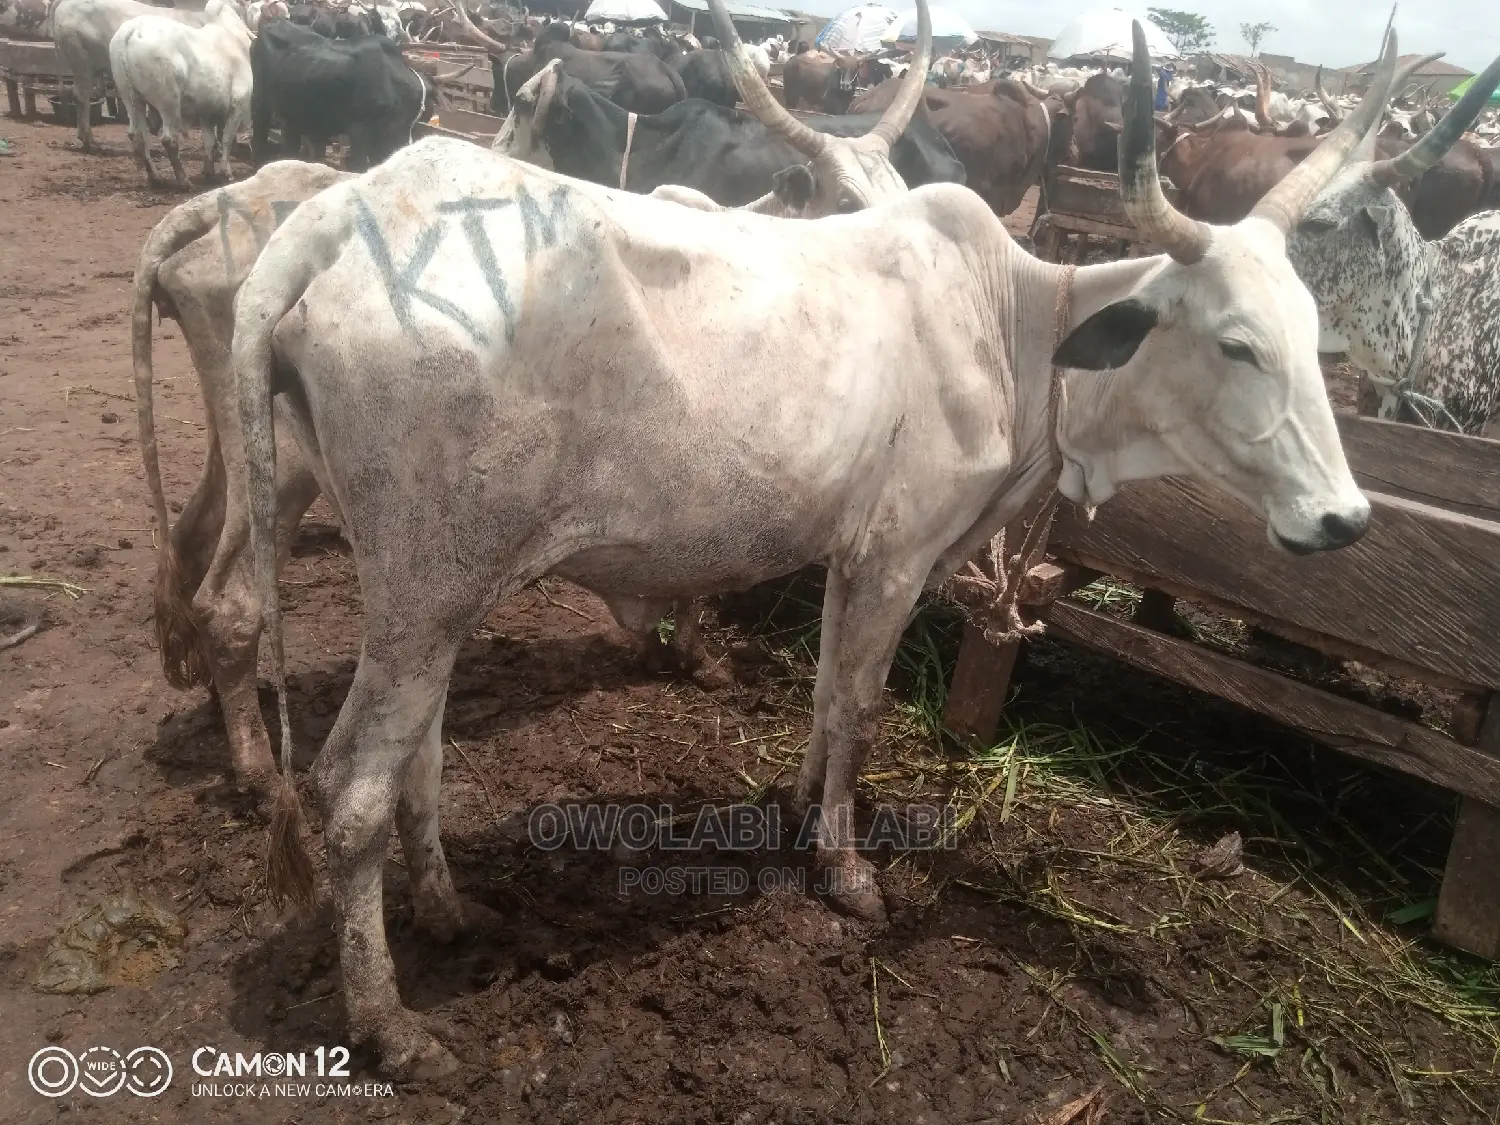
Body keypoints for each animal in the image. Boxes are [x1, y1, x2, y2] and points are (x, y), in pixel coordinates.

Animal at [110, 0, 253, 188]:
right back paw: (183, 181)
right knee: (168, 139)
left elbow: (209, 141)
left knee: (138, 136)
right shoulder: (239, 104)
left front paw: (209, 173)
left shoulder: (206, 112)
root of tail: (132, 28)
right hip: (168, 101)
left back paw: (155, 177)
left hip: (130, 97)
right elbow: (227, 139)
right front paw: (225, 173)